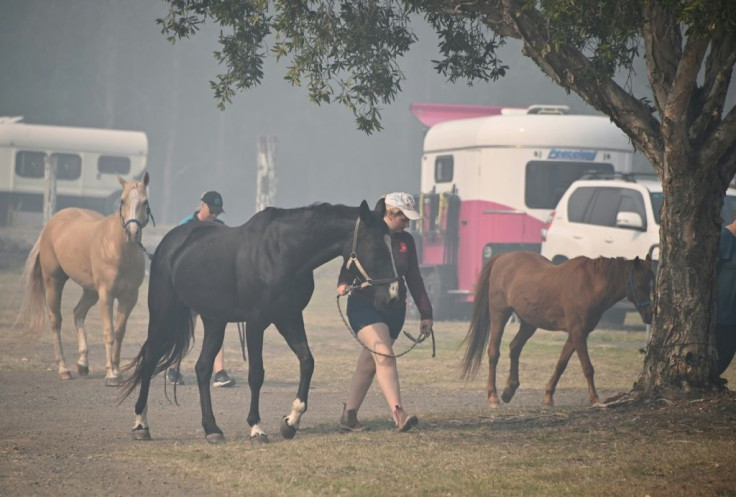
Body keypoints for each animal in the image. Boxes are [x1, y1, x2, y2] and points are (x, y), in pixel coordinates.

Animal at [18, 172, 152, 386]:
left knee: (78, 312)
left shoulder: (129, 297)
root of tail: (51, 225)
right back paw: (64, 369)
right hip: (54, 283)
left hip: (91, 291)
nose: (132, 233)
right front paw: (111, 374)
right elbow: (109, 332)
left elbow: (120, 333)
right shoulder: (106, 295)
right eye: (122, 200)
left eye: (145, 202)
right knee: (56, 321)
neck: (119, 250)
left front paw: (116, 370)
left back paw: (82, 364)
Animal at [118, 198, 400, 442]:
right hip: (163, 313)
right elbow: (256, 374)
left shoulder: (289, 318)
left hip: (214, 321)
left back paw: (212, 429)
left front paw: (291, 422)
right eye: (376, 246)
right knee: (150, 358)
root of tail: (168, 243)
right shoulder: (256, 322)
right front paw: (256, 428)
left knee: (202, 368)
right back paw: (141, 424)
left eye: (392, 244)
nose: (393, 296)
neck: (283, 253)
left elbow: (307, 362)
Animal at [462, 252, 652, 406]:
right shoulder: (578, 333)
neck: (590, 284)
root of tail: (502, 258)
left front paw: (548, 396)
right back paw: (493, 396)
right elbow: (588, 368)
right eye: (641, 284)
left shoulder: (576, 335)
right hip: (499, 316)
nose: (650, 315)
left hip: (529, 323)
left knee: (515, 347)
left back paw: (509, 390)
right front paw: (595, 399)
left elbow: (561, 364)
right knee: (494, 353)